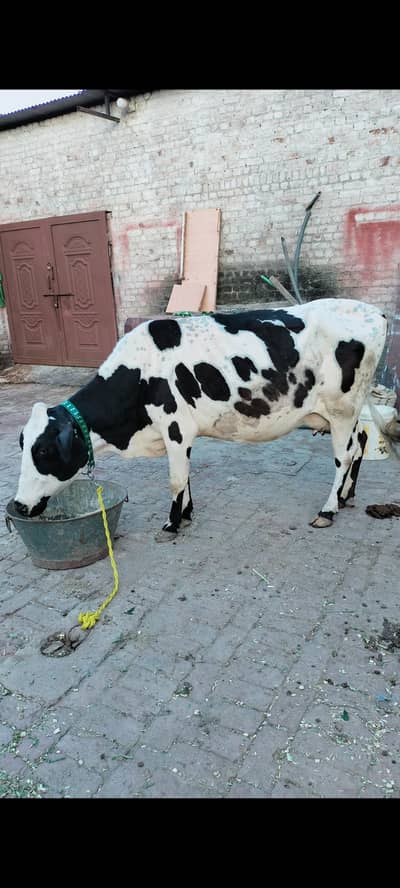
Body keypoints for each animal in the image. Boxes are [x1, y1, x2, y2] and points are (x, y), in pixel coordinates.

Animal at [14, 298, 396, 537]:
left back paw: (328, 510)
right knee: (360, 444)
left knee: (344, 455)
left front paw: (171, 524)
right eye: (23, 446)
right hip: (345, 412)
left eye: (44, 451)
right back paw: (346, 497)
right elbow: (185, 476)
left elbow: (175, 479)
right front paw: (185, 513)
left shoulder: (174, 426)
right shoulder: (181, 433)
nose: (18, 506)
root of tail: (373, 313)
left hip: (341, 408)